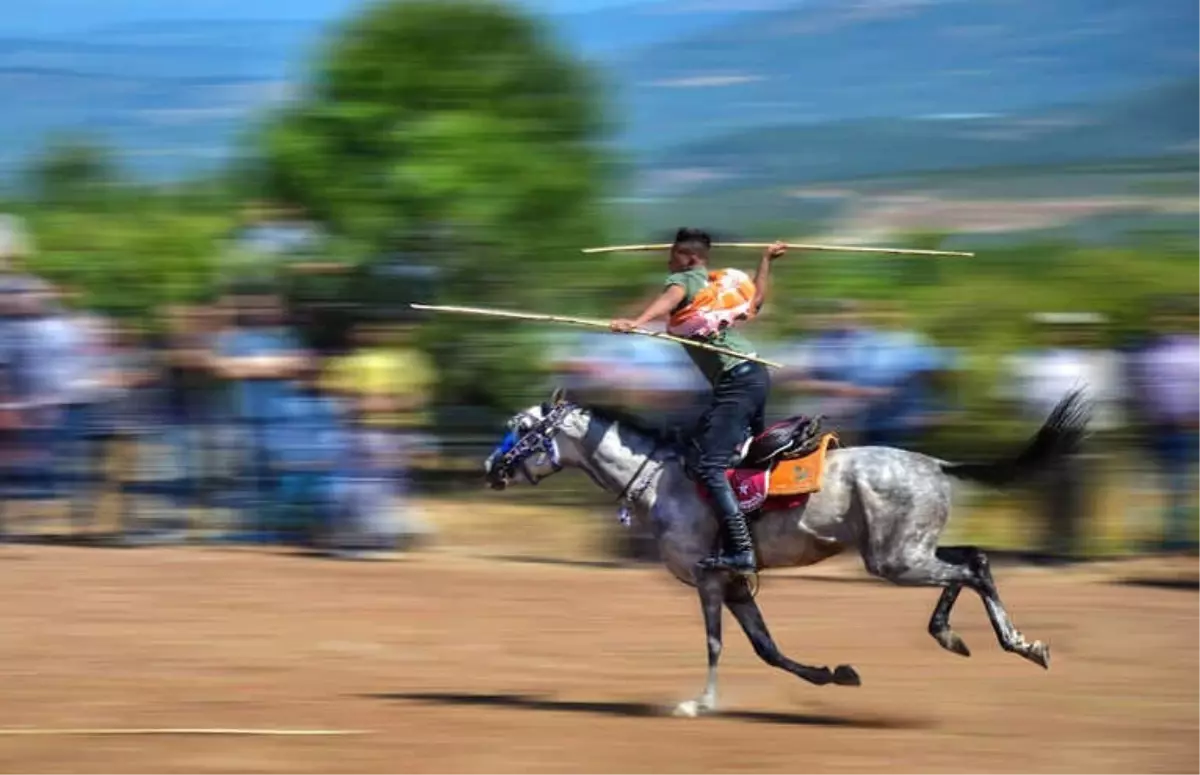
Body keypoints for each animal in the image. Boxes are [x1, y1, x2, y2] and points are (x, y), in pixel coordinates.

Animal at [477, 386, 1089, 715]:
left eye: (522, 427)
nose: (490, 467)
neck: (662, 480)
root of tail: (936, 465)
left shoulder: (709, 580)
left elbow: (716, 644)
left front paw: (699, 704)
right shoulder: (734, 584)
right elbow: (766, 647)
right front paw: (831, 674)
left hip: (895, 559)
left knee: (970, 570)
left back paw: (1018, 644)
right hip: (908, 548)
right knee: (973, 560)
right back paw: (957, 635)